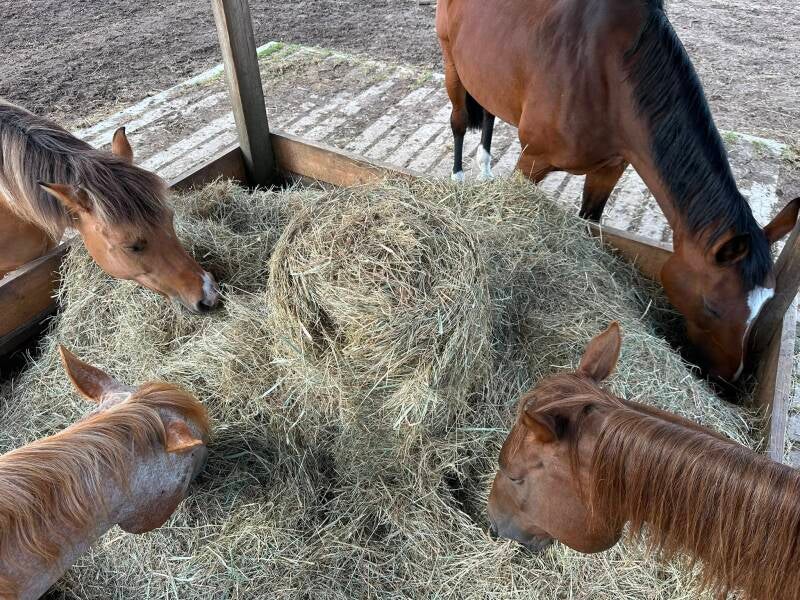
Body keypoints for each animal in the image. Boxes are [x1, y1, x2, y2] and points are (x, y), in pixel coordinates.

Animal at [436, 0, 800, 380]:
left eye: (765, 305)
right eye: (712, 308)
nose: (727, 376)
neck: (607, 78)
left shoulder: (610, 168)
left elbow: (590, 221)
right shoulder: (533, 161)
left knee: (488, 114)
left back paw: (485, 171)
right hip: (451, 63)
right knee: (459, 121)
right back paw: (458, 178)